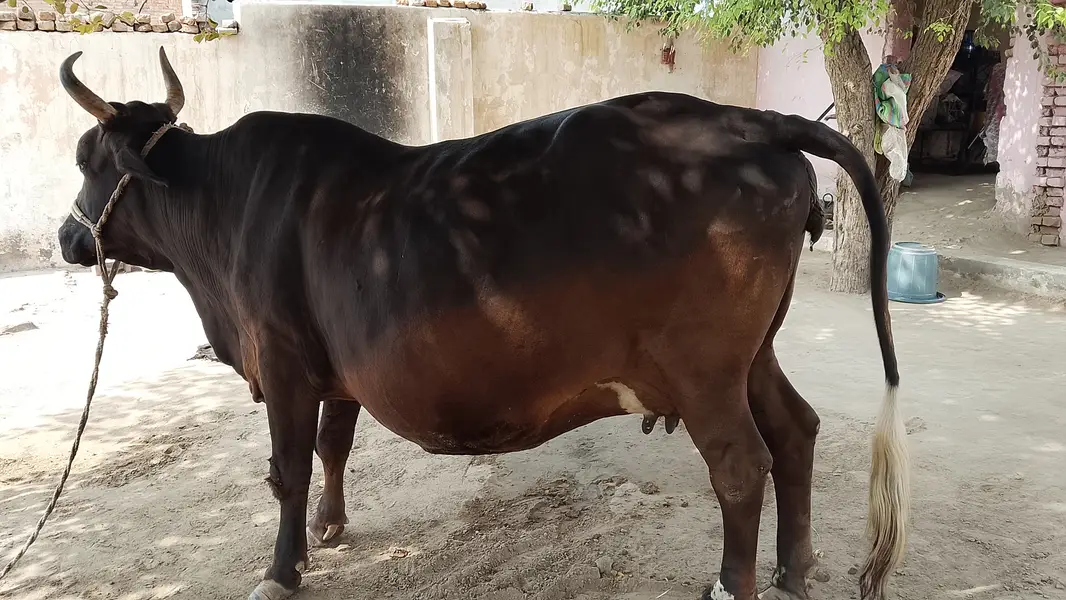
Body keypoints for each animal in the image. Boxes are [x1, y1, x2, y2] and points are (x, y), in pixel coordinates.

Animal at [56, 47, 907, 600]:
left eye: (87, 160)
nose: (67, 237)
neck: (225, 205)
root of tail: (753, 122)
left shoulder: (288, 363)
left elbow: (288, 468)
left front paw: (281, 569)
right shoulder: (335, 368)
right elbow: (334, 446)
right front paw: (331, 528)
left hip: (704, 370)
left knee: (741, 465)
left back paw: (736, 585)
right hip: (753, 354)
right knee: (795, 431)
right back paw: (793, 571)